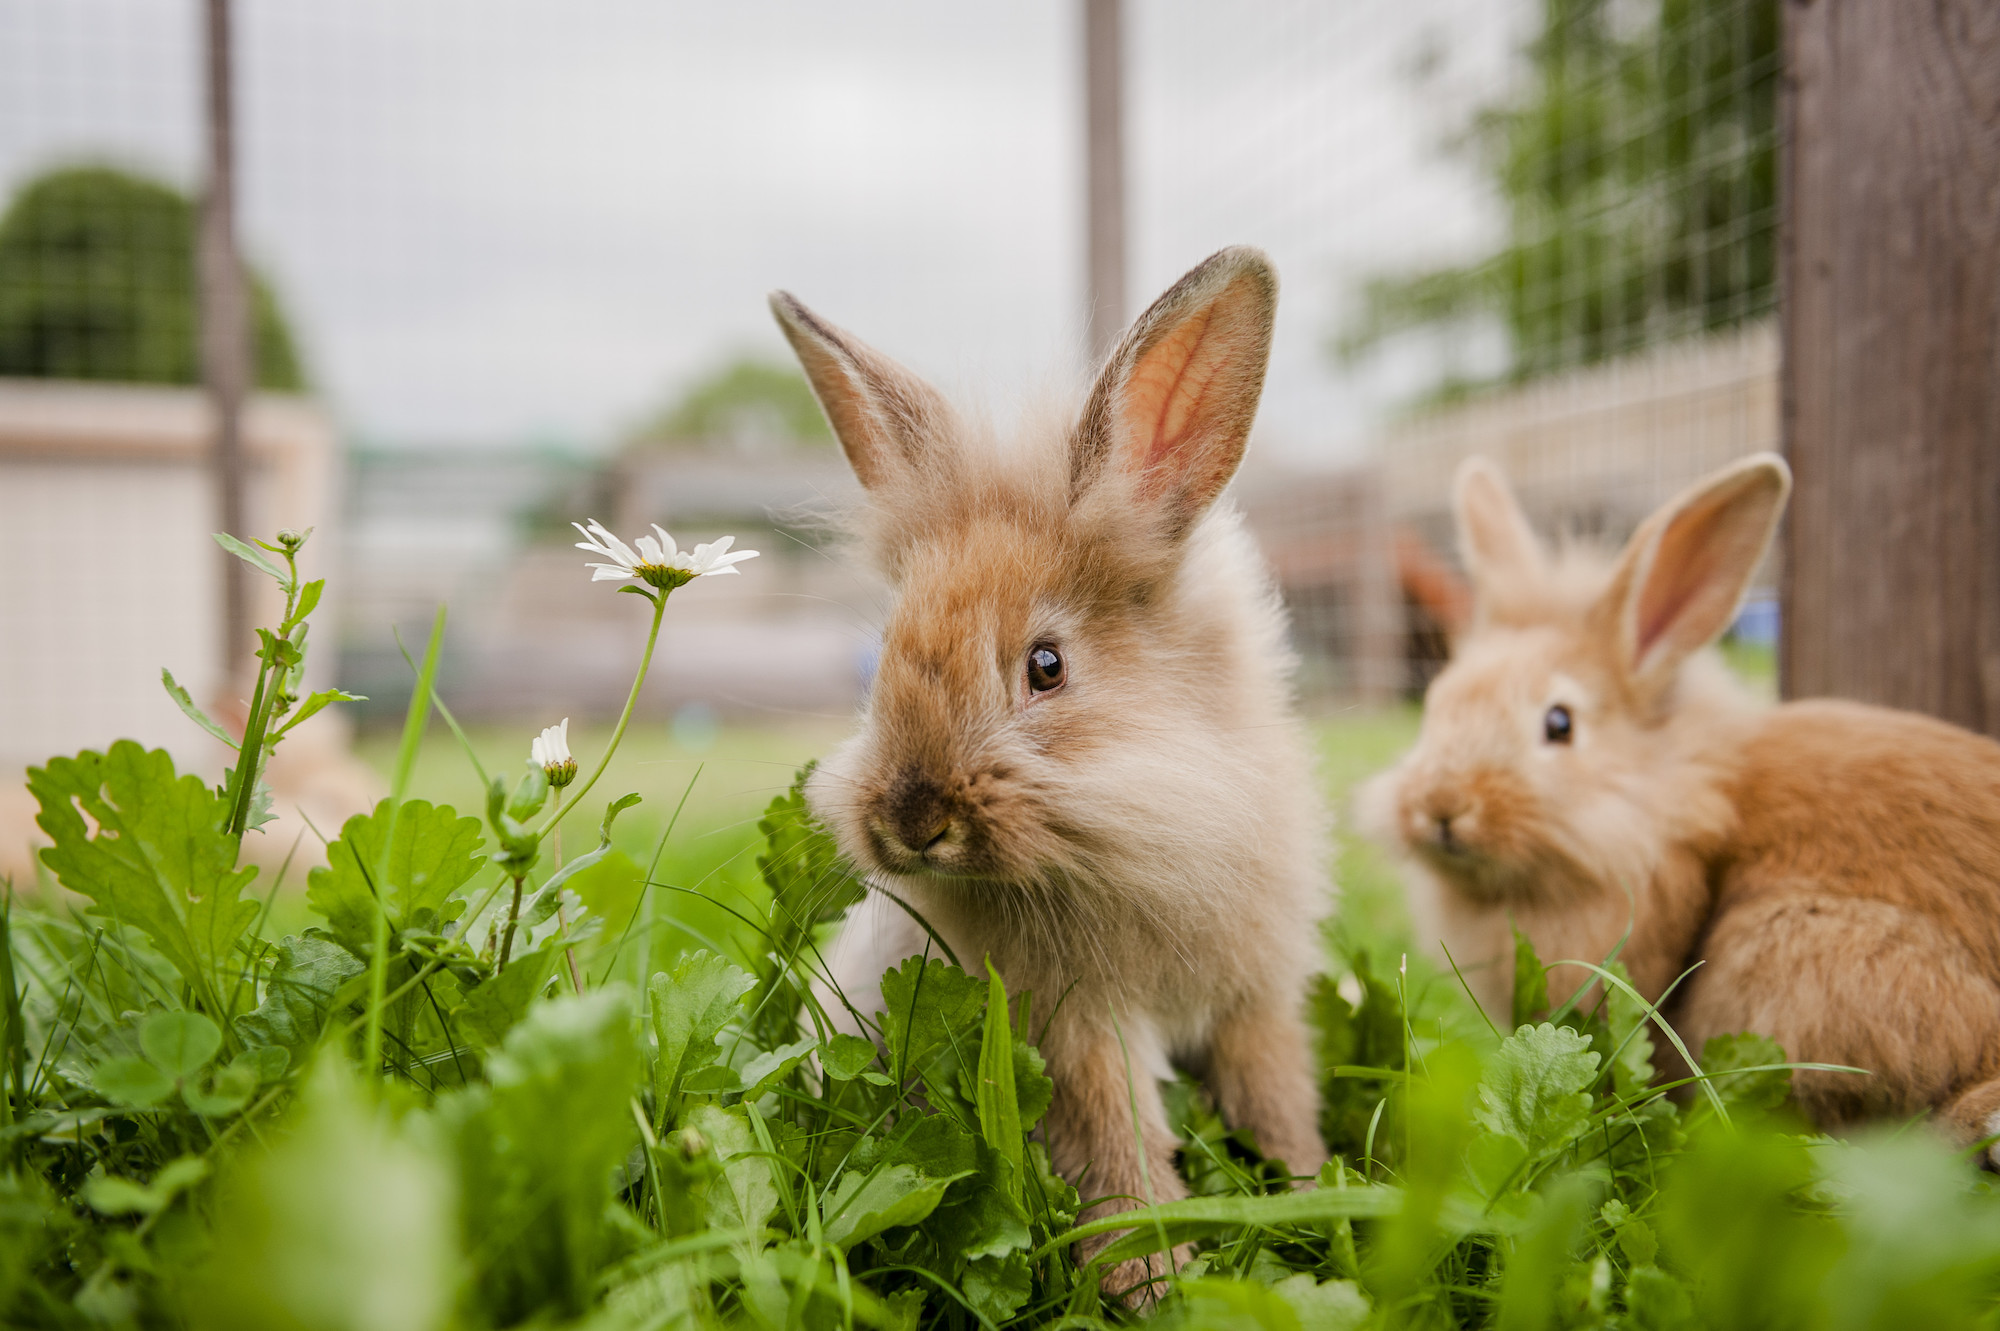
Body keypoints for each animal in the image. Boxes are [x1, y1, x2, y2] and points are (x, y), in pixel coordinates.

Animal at [771, 246, 1330, 1301]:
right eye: (886, 653)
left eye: (1047, 665)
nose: (912, 817)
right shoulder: (1080, 1033)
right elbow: (1117, 1144)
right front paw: (1153, 1276)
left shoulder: (1258, 1000)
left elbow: (1276, 1096)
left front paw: (1313, 1190)